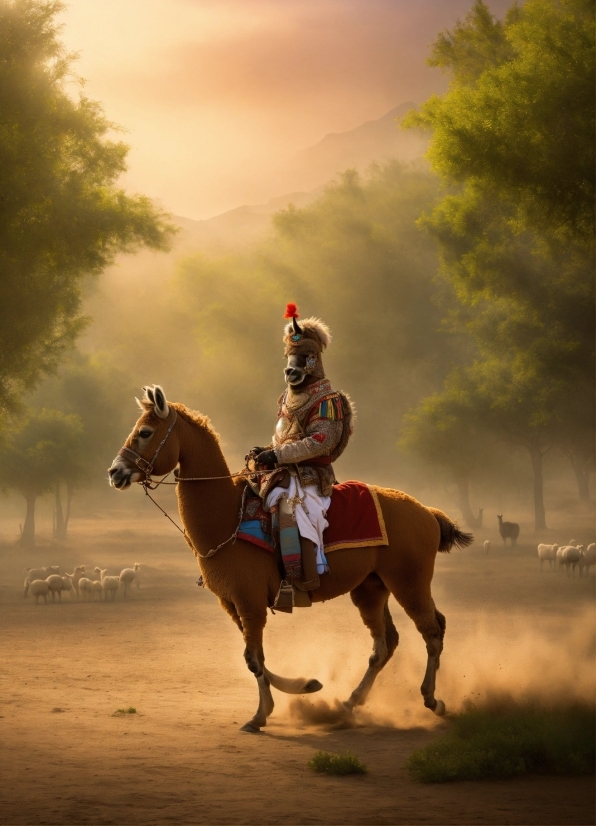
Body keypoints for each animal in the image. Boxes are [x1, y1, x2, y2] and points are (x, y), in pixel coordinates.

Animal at [106, 384, 470, 732]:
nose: (114, 472)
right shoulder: (234, 605)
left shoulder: (250, 602)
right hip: (371, 588)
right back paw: (349, 703)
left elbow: (253, 658)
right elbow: (258, 658)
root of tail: (426, 511)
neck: (229, 516)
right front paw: (306, 685)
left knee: (431, 630)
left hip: (409, 583)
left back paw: (432, 700)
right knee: (385, 644)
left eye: (145, 432)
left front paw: (260, 715)